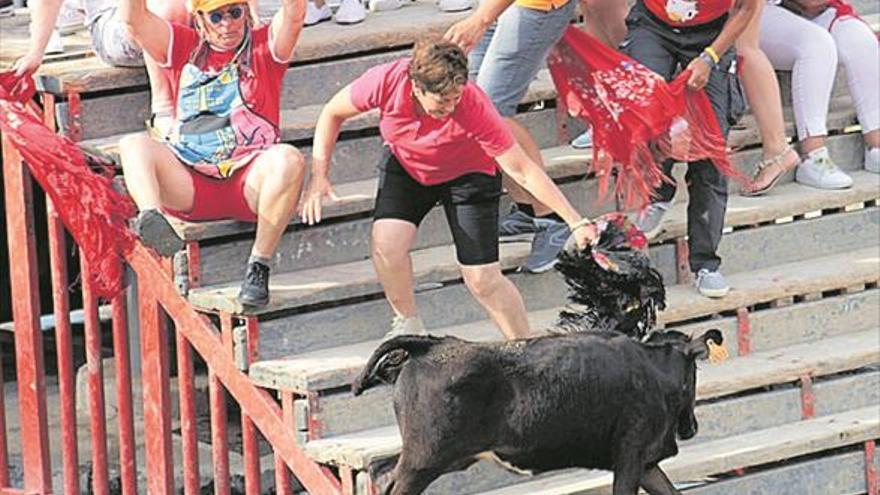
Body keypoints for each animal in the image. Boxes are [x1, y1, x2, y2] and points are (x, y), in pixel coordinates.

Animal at [350, 328, 720, 494]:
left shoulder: (646, 463)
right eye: (695, 372)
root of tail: (432, 344)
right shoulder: (631, 453)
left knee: (379, 468)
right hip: (424, 459)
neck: (653, 368)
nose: (692, 427)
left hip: (444, 455)